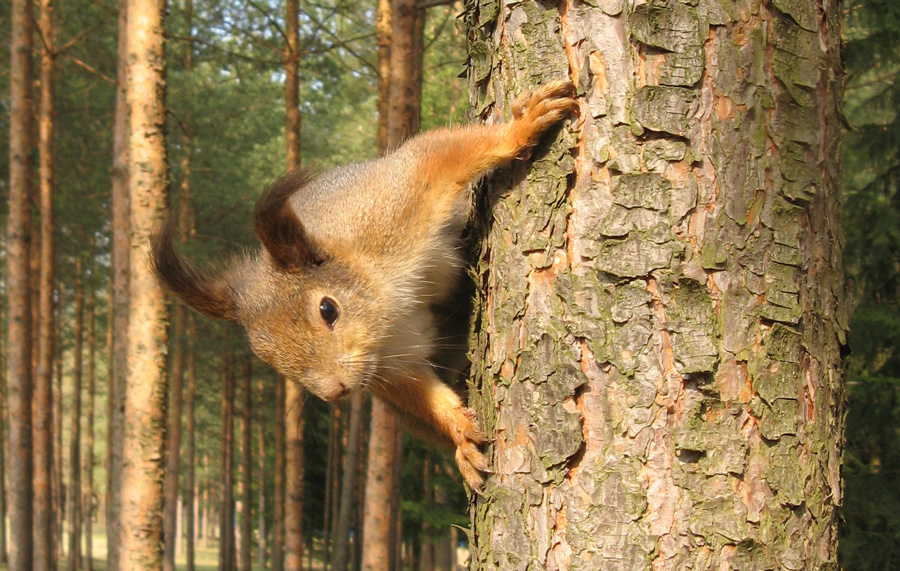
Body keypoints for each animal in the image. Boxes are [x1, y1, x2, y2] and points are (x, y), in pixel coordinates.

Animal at [149, 78, 576, 494]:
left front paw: (521, 127)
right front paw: (461, 436)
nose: (334, 391)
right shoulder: (393, 366)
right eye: (266, 358)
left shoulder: (395, 200)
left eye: (328, 309)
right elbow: (420, 392)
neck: (387, 303)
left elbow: (449, 153)